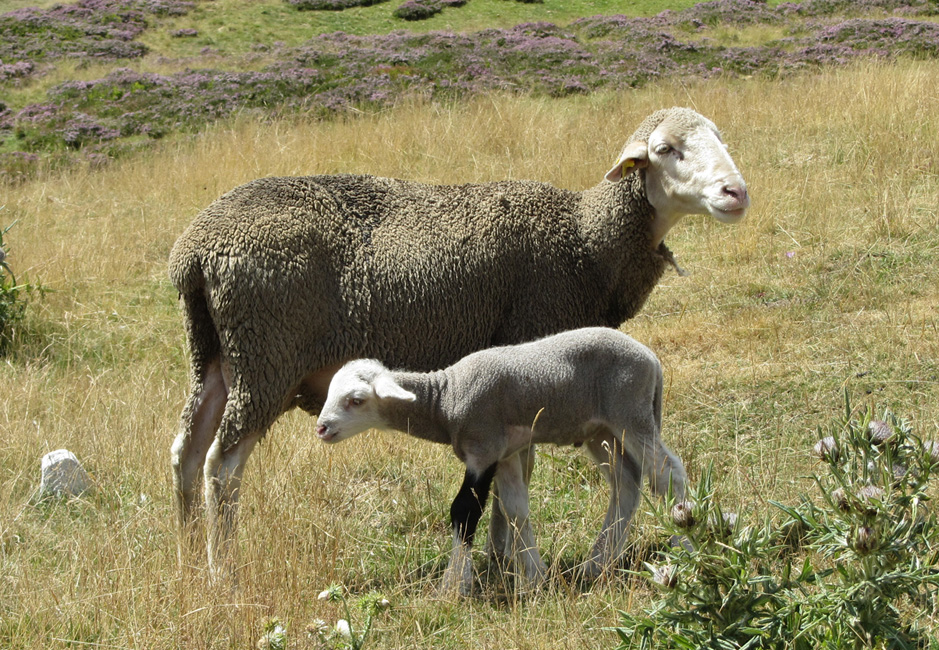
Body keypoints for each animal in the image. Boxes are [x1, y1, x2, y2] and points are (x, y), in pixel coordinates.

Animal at [316, 326, 692, 596]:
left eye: (356, 400)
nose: (321, 428)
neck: (446, 398)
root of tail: (651, 358)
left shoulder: (483, 449)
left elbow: (465, 511)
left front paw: (454, 586)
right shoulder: (506, 452)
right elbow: (515, 509)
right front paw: (535, 578)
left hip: (630, 412)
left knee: (669, 474)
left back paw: (685, 544)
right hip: (601, 431)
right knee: (626, 483)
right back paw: (597, 563)